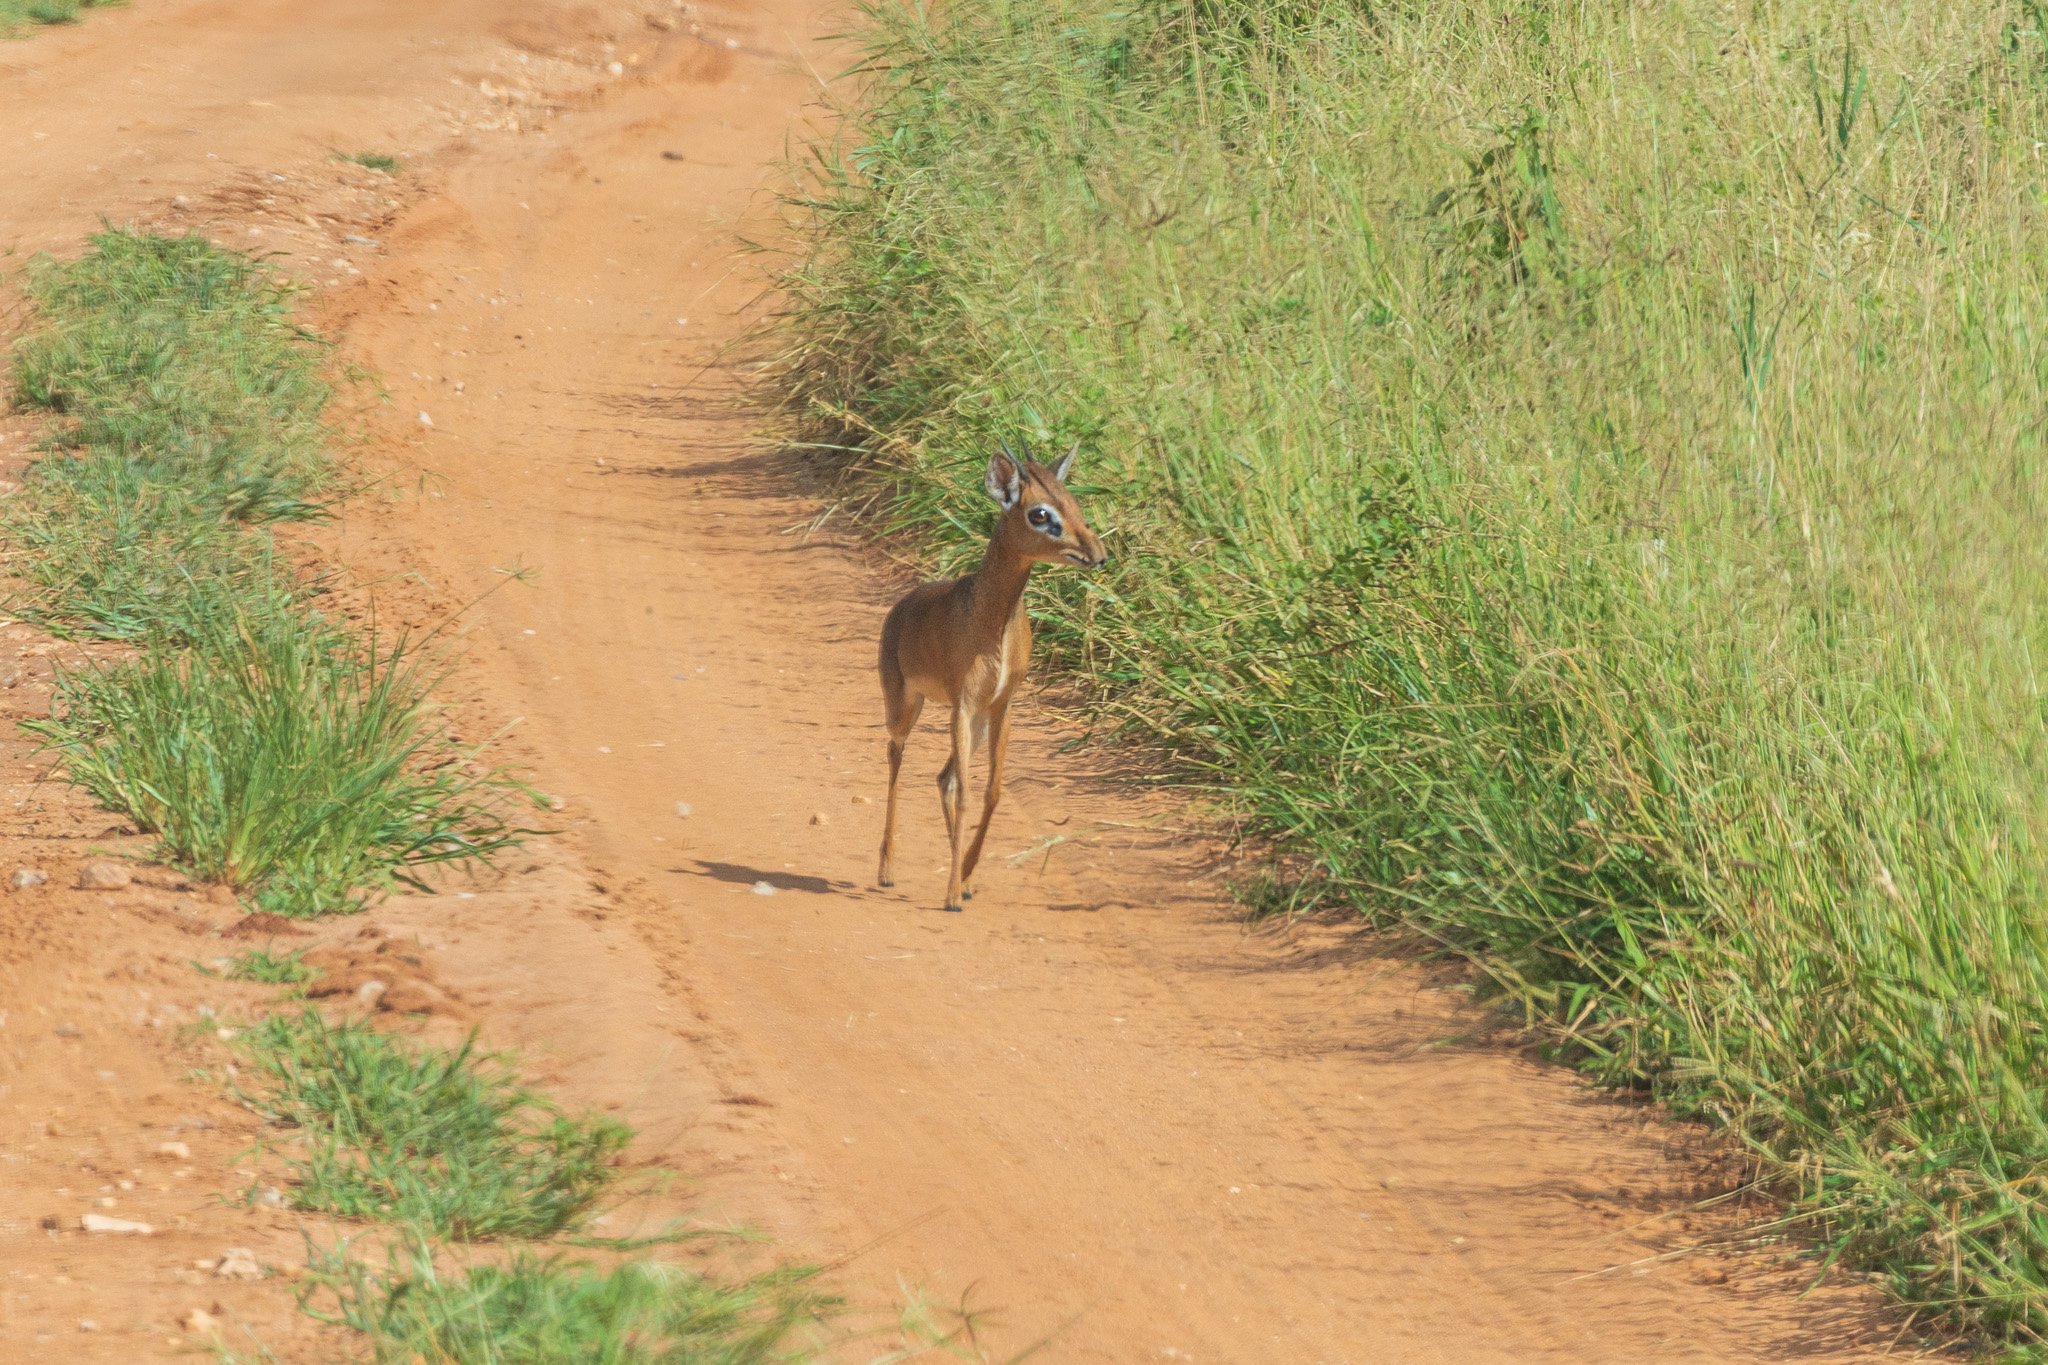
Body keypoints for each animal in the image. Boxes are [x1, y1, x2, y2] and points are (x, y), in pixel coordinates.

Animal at [876, 444, 1105, 912]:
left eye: (1073, 501)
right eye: (1040, 513)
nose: (1097, 553)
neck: (991, 622)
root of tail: (900, 607)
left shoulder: (1002, 706)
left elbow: (990, 792)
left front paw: (963, 877)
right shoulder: (963, 705)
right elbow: (967, 793)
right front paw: (950, 894)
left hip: (976, 723)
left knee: (943, 778)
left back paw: (960, 879)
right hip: (906, 706)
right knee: (896, 756)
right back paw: (887, 871)